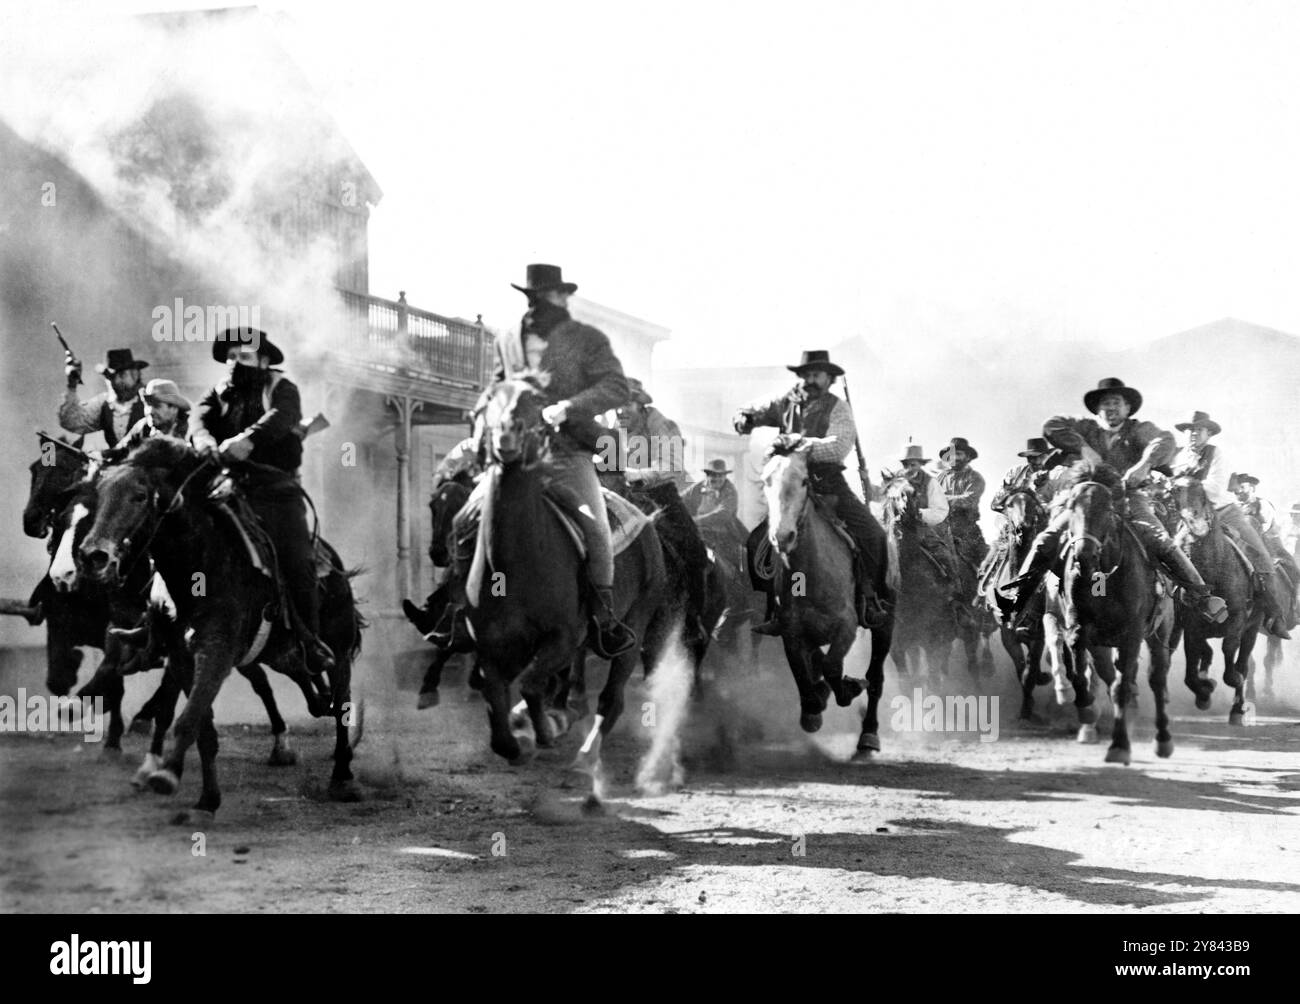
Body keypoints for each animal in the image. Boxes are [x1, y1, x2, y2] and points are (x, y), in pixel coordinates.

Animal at [759, 436, 894, 754]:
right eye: (765, 481)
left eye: (805, 480)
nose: (782, 537)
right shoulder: (791, 634)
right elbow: (805, 674)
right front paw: (815, 705)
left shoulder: (846, 626)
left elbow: (832, 666)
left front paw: (848, 689)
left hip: (885, 624)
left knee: (876, 677)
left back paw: (869, 734)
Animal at [1055, 465, 1180, 764]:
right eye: (1071, 506)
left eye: (1108, 508)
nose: (1084, 555)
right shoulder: (1078, 627)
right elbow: (1078, 671)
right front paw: (1087, 709)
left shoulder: (1132, 635)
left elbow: (1122, 687)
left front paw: (1120, 745)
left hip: (1159, 635)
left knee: (1156, 679)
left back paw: (1163, 740)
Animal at [1170, 475, 1258, 723]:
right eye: (1182, 552)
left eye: (1202, 495)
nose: (1190, 595)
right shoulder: (1191, 627)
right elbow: (1191, 670)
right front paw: (1205, 691)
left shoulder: (1238, 620)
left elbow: (1230, 654)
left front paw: (1232, 680)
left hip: (1253, 628)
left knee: (1243, 662)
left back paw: (1238, 708)